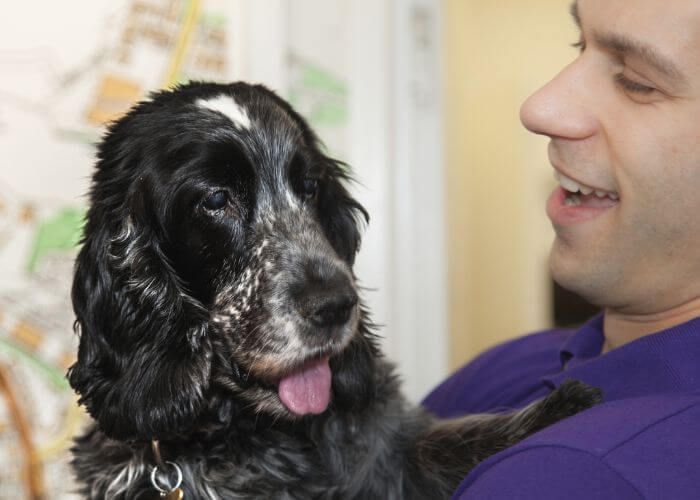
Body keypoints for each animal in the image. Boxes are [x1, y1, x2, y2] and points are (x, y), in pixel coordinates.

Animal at [68, 80, 600, 498]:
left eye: (309, 187)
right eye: (216, 199)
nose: (337, 307)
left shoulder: (391, 446)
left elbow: (453, 442)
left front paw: (562, 406)